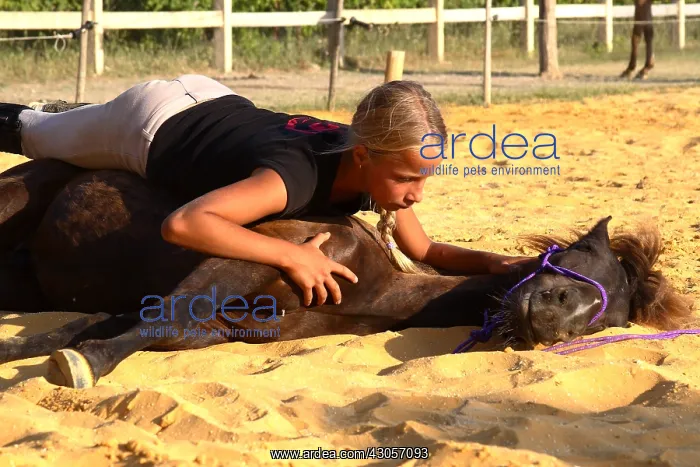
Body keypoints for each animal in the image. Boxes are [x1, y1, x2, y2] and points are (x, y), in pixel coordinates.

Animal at [0, 159, 691, 389]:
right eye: (580, 256)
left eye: (610, 318)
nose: (548, 318)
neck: (374, 287)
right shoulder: (247, 258)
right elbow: (149, 323)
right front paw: (76, 364)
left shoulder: (227, 328)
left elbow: (141, 327)